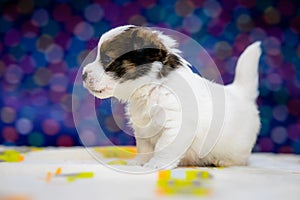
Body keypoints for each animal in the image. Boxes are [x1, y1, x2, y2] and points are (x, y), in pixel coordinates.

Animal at [83, 24, 262, 169]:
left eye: (107, 58)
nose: (83, 74)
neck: (152, 87)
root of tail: (240, 92)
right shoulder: (143, 131)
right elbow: (144, 148)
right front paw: (139, 163)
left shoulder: (175, 126)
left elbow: (164, 148)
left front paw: (156, 164)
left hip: (239, 147)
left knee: (241, 159)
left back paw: (222, 161)